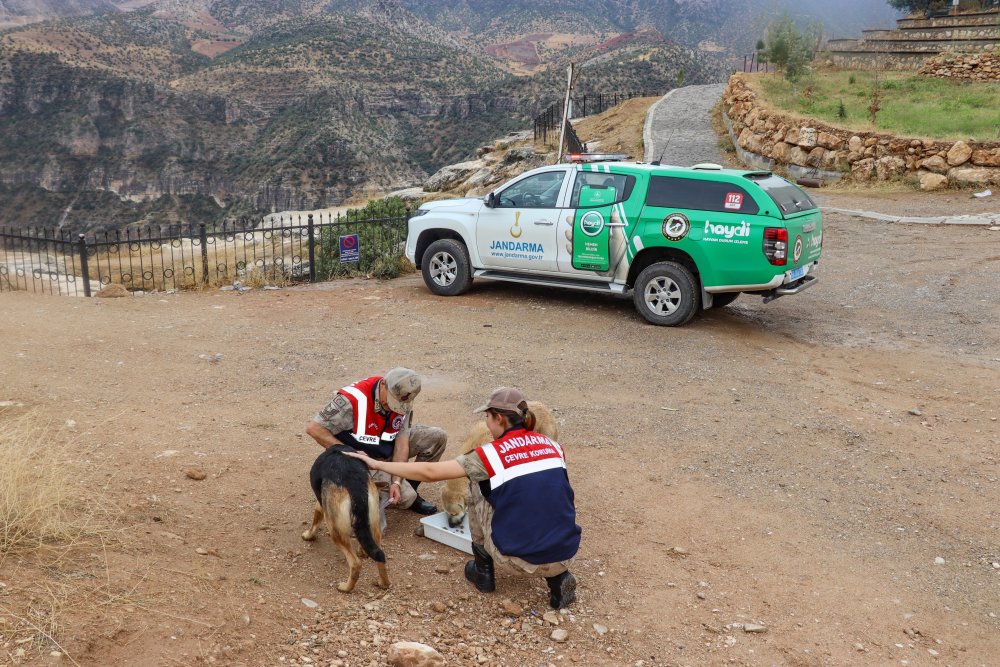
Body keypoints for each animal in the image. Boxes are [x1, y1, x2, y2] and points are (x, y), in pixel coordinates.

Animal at [298, 446, 388, 592]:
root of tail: (355, 486)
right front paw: (363, 551)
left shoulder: (320, 505)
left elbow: (315, 522)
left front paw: (308, 536)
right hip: (375, 524)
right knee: (380, 554)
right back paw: (383, 583)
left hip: (336, 531)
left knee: (355, 563)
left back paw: (346, 588)